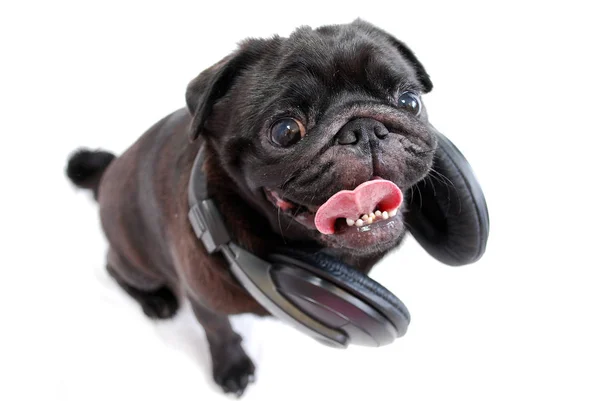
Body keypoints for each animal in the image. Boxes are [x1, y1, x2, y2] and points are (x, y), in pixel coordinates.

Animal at [67, 19, 482, 396]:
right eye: (285, 131)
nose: (363, 128)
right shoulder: (202, 297)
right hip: (135, 262)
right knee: (115, 269)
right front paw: (232, 368)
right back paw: (156, 302)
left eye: (409, 101)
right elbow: (218, 331)